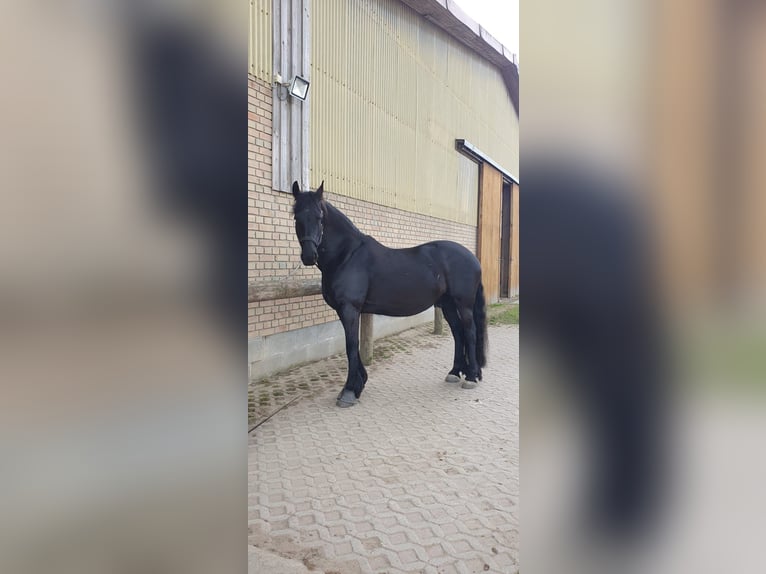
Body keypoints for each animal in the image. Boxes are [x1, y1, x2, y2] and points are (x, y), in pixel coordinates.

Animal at [291, 180, 488, 407]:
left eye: (319, 217)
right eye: (297, 217)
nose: (309, 256)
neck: (347, 255)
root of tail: (472, 258)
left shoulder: (350, 309)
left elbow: (351, 346)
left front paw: (349, 391)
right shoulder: (344, 311)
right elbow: (353, 346)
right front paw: (359, 384)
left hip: (464, 304)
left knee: (470, 332)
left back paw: (471, 377)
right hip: (447, 305)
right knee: (458, 333)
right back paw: (455, 372)